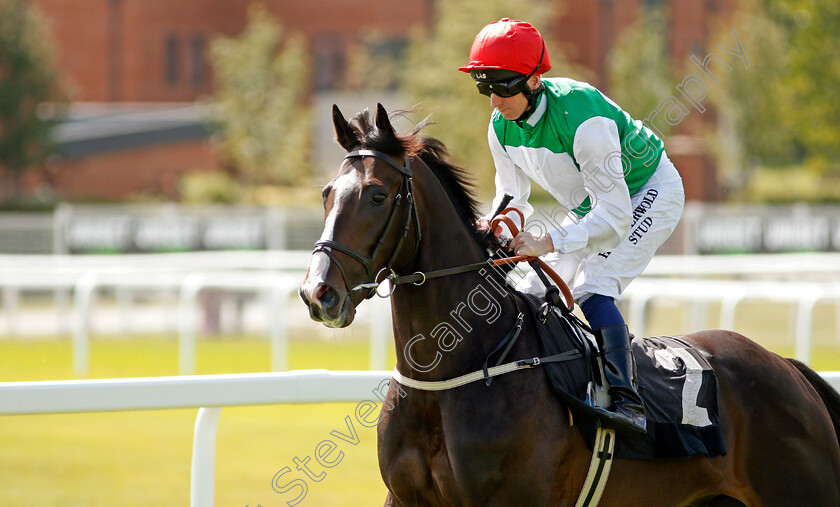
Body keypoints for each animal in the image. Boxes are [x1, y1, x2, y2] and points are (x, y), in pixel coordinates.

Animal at [300, 104, 840, 507]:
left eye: (376, 195)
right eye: (326, 192)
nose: (318, 293)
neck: (456, 372)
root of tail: (787, 367)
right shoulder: (405, 497)